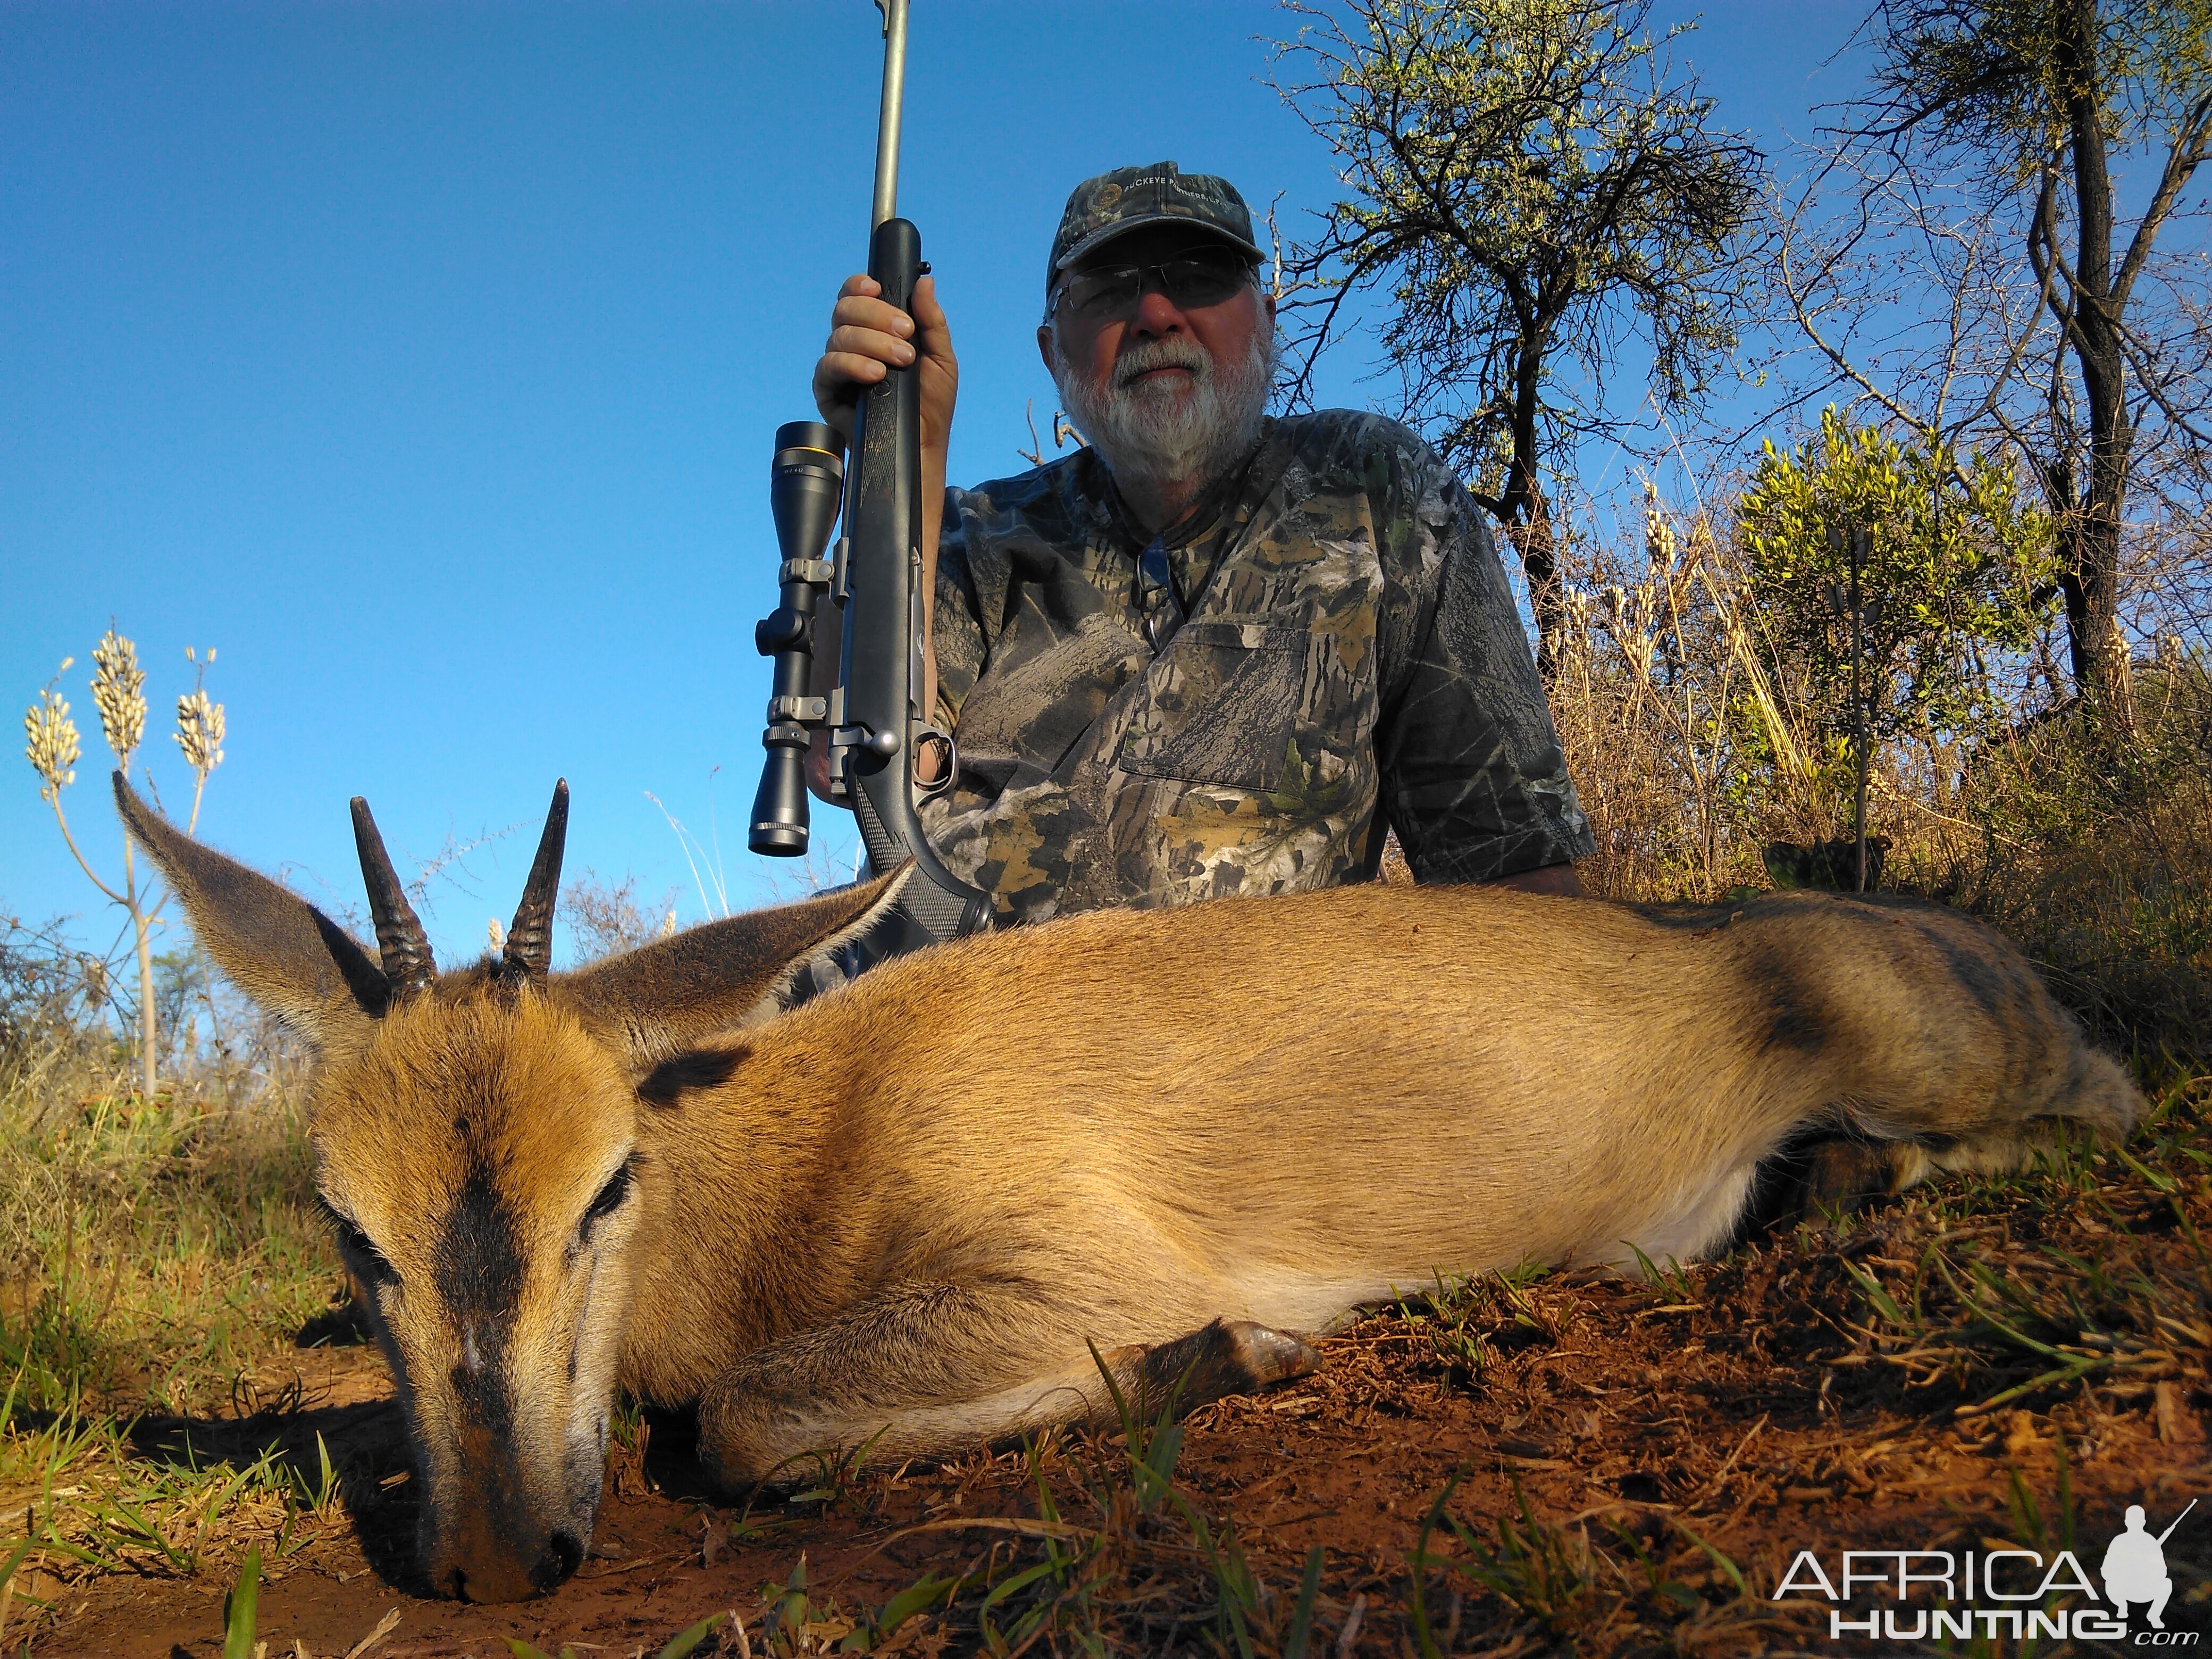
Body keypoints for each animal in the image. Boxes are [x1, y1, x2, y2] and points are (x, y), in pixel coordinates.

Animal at [112, 774, 2132, 1601]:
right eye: (347, 1228)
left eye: (609, 1185)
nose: (489, 1556)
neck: (801, 1132)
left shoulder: (1075, 1271)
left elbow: (746, 1423)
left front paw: (1253, 1351)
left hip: (1985, 1061)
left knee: (2109, 1094)